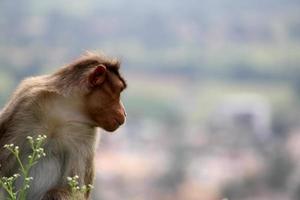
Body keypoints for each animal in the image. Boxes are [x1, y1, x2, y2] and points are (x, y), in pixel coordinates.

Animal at [0, 52, 127, 200]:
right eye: (119, 91)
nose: (124, 112)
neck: (64, 110)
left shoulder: (87, 133)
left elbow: (75, 191)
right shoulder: (26, 101)